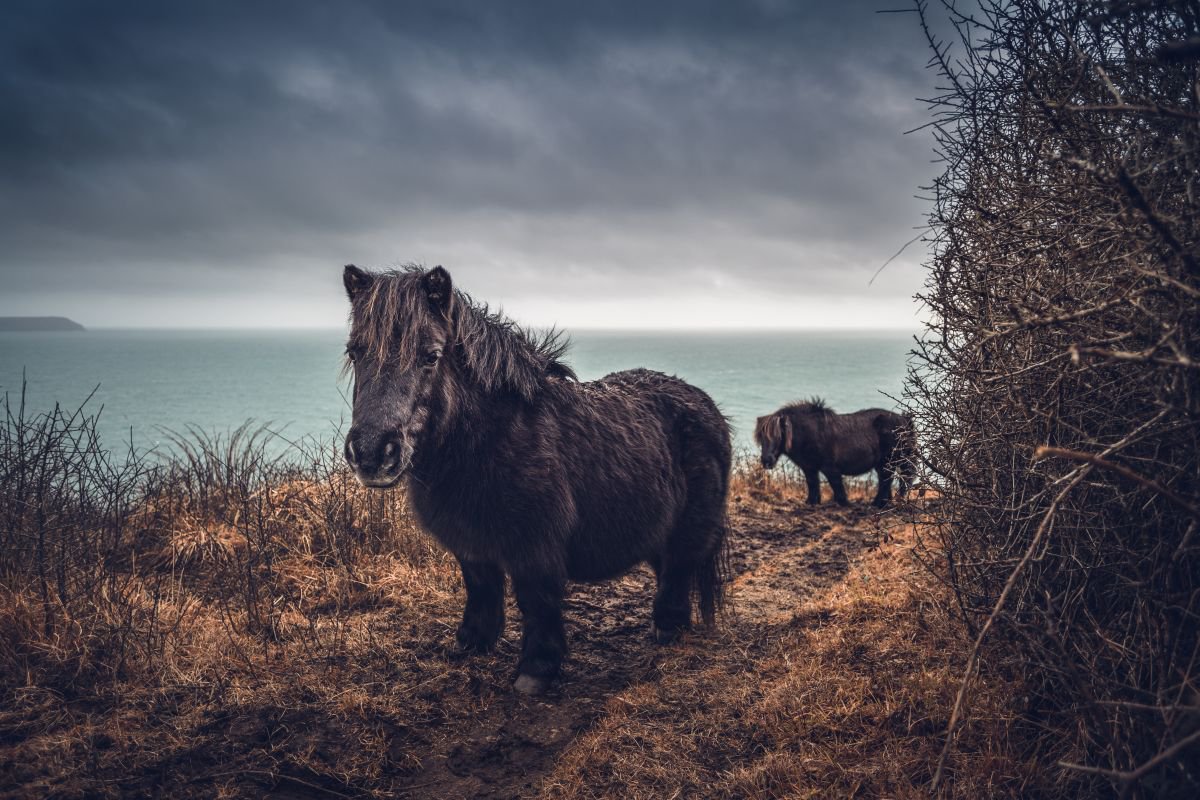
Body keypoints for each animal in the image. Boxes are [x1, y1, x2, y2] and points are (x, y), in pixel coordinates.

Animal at [338, 263, 729, 695]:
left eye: (431, 356)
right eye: (354, 351)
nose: (372, 453)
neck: (491, 438)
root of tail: (704, 402)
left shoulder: (535, 547)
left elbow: (536, 600)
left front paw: (536, 670)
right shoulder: (470, 542)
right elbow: (480, 589)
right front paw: (471, 643)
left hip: (692, 527)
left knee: (679, 569)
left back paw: (668, 629)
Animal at [753, 400, 912, 506]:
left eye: (778, 436)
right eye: (761, 437)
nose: (766, 461)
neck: (810, 433)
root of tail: (904, 420)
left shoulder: (829, 467)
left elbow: (836, 484)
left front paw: (843, 503)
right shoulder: (809, 467)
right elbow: (812, 483)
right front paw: (811, 502)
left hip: (888, 461)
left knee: (886, 480)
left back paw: (878, 504)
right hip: (883, 464)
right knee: (886, 480)